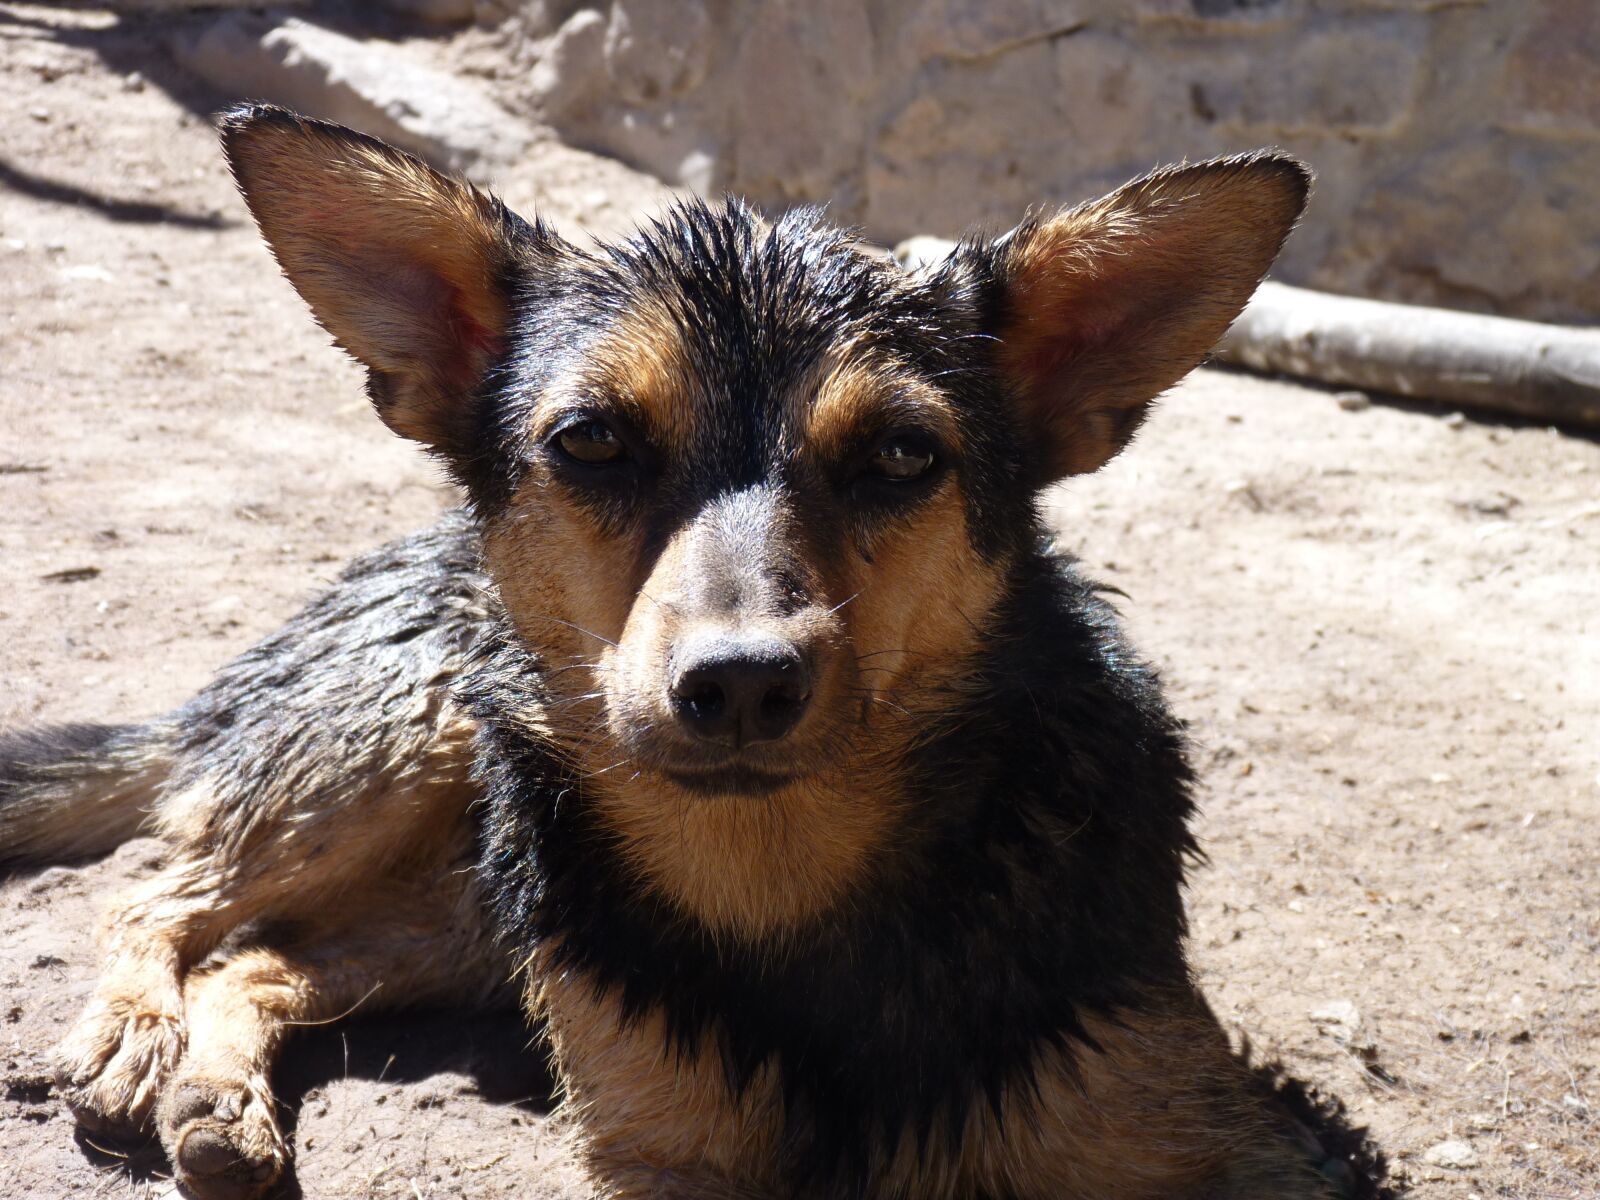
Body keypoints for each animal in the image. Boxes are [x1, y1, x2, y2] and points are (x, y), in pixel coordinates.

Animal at [0, 105, 1324, 1200]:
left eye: (902, 455)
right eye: (590, 441)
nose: (739, 684)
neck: (781, 884)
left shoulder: (1196, 1122)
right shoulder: (657, 1146)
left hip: (472, 911)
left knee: (262, 957)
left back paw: (216, 1102)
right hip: (395, 754)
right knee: (159, 893)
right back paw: (135, 1036)